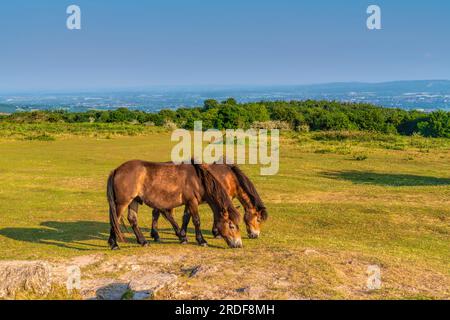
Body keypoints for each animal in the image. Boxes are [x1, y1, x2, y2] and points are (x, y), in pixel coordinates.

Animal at [106, 161, 243, 249]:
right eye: (231, 226)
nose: (239, 245)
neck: (198, 180)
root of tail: (117, 170)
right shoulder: (192, 202)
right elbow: (196, 221)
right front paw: (201, 240)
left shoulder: (188, 203)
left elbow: (186, 218)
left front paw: (183, 237)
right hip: (123, 203)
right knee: (115, 220)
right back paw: (114, 244)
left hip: (134, 201)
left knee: (132, 219)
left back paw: (143, 241)